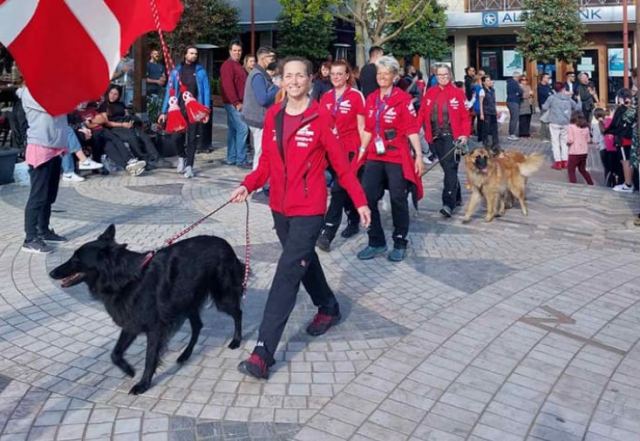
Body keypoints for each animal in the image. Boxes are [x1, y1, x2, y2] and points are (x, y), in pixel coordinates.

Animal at [48, 225, 244, 394]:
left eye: (76, 259)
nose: (51, 273)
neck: (126, 279)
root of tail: (226, 244)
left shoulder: (154, 327)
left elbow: (149, 358)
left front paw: (143, 384)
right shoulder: (131, 322)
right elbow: (115, 353)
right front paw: (129, 370)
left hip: (221, 297)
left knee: (238, 313)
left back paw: (236, 341)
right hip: (187, 301)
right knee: (198, 325)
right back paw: (185, 354)